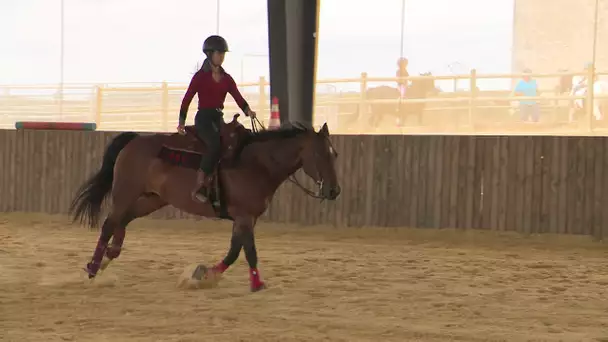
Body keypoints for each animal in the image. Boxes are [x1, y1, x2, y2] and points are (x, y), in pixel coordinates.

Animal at [70, 115, 342, 292]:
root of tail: (134, 140)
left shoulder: (245, 218)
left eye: (335, 154)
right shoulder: (244, 217)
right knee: (109, 223)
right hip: (125, 192)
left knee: (124, 219)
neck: (257, 164)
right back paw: (93, 268)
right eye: (319, 154)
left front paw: (204, 275)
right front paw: (257, 284)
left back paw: (108, 257)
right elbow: (249, 251)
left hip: (154, 199)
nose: (334, 190)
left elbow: (234, 251)